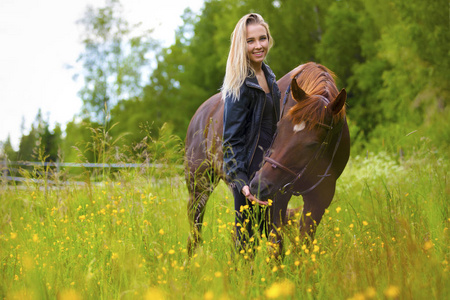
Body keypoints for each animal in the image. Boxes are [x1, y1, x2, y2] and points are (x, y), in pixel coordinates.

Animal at [185, 62, 350, 256]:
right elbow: (276, 248)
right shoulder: (277, 198)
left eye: (313, 144)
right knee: (196, 228)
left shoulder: (320, 197)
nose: (259, 185)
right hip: (200, 186)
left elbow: (303, 245)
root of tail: (201, 114)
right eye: (279, 126)